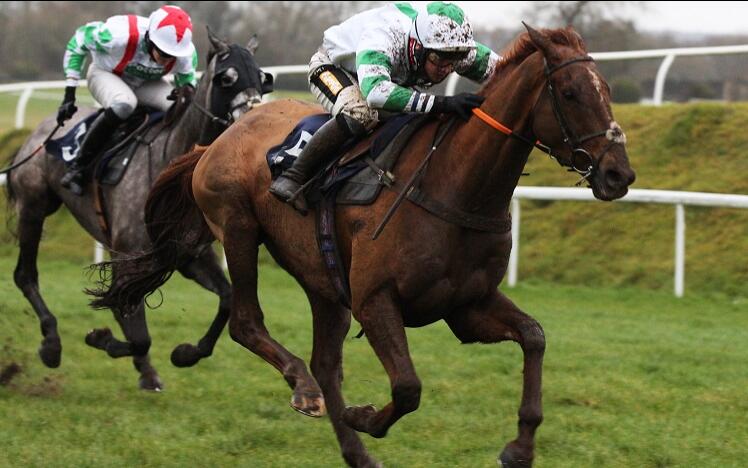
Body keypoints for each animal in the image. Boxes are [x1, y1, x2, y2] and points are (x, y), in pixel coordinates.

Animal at [4, 30, 274, 392]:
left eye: (262, 78)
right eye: (226, 78)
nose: (255, 123)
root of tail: (42, 130)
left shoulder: (190, 257)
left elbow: (228, 298)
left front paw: (185, 353)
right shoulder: (129, 254)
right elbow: (138, 332)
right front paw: (102, 340)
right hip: (34, 207)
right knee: (25, 274)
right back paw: (51, 343)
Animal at [92, 26, 632, 468]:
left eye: (606, 91)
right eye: (570, 92)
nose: (618, 174)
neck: (453, 184)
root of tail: (219, 138)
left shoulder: (467, 306)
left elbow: (535, 337)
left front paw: (519, 448)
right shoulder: (375, 300)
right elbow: (409, 387)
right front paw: (365, 416)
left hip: (323, 281)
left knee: (326, 364)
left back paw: (353, 449)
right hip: (238, 227)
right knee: (248, 323)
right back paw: (301, 389)